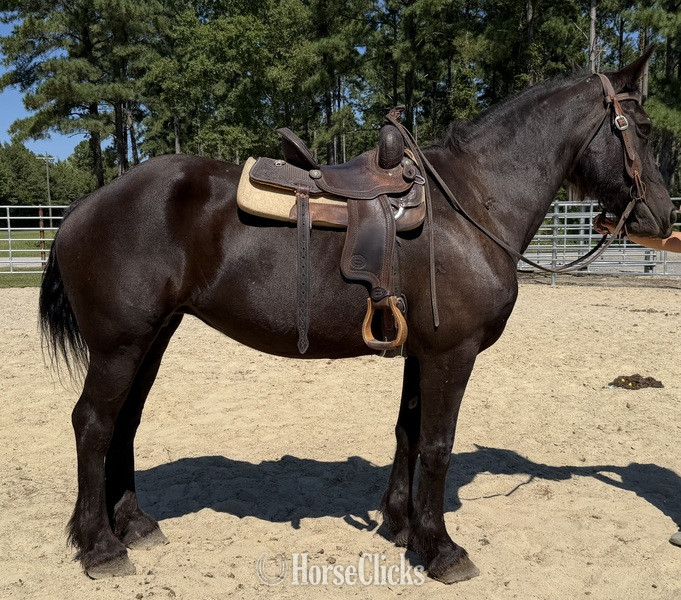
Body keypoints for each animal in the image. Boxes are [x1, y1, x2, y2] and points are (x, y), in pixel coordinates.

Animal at [39, 48, 676, 582]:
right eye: (643, 130)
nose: (662, 216)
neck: (472, 201)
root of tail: (81, 207)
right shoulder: (452, 354)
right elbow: (437, 445)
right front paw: (442, 549)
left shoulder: (422, 351)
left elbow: (407, 433)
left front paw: (402, 526)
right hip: (121, 345)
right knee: (92, 423)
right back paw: (100, 546)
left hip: (152, 339)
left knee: (123, 423)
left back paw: (135, 526)